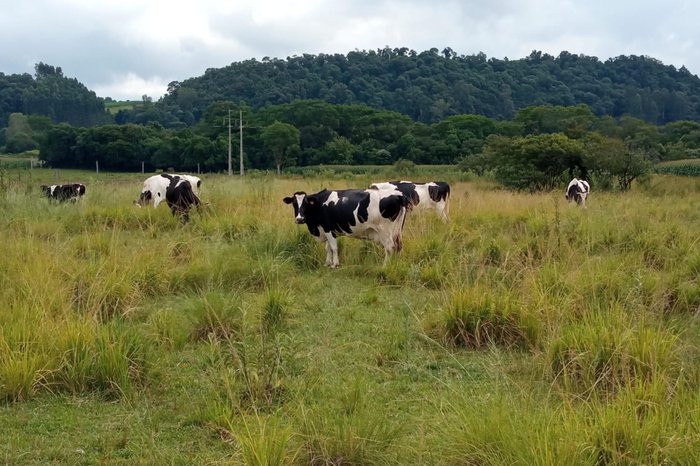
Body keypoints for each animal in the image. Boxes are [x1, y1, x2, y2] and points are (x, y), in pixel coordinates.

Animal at [282, 187, 410, 268]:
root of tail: (398, 196)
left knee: (389, 248)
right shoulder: (327, 230)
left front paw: (335, 264)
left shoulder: (328, 228)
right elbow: (328, 248)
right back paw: (395, 265)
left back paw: (385, 266)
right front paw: (327, 263)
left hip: (385, 231)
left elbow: (334, 248)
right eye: (294, 203)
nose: (299, 219)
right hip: (397, 232)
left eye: (306, 203)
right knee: (398, 247)